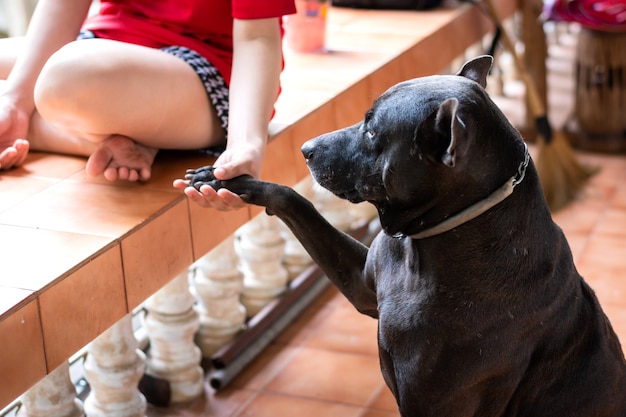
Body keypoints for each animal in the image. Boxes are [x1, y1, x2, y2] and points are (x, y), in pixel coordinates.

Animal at [186, 56, 624, 416]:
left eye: (372, 131)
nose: (306, 149)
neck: (430, 242)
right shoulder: (361, 282)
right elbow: (297, 202)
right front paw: (231, 181)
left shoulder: (431, 401)